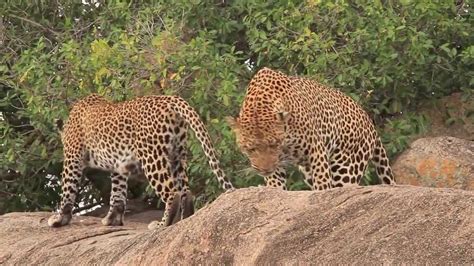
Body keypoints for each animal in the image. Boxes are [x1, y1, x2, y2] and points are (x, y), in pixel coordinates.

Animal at [47, 93, 233, 229]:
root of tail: (171, 99)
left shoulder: (72, 158)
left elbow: (68, 189)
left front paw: (59, 219)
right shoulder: (119, 166)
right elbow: (118, 193)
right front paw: (112, 220)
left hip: (152, 157)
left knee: (172, 193)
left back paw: (161, 225)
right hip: (177, 156)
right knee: (186, 192)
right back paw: (183, 221)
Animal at [227, 67, 396, 190]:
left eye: (274, 145)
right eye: (251, 149)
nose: (265, 170)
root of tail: (370, 123)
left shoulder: (315, 148)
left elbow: (322, 179)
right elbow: (275, 182)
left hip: (346, 166)